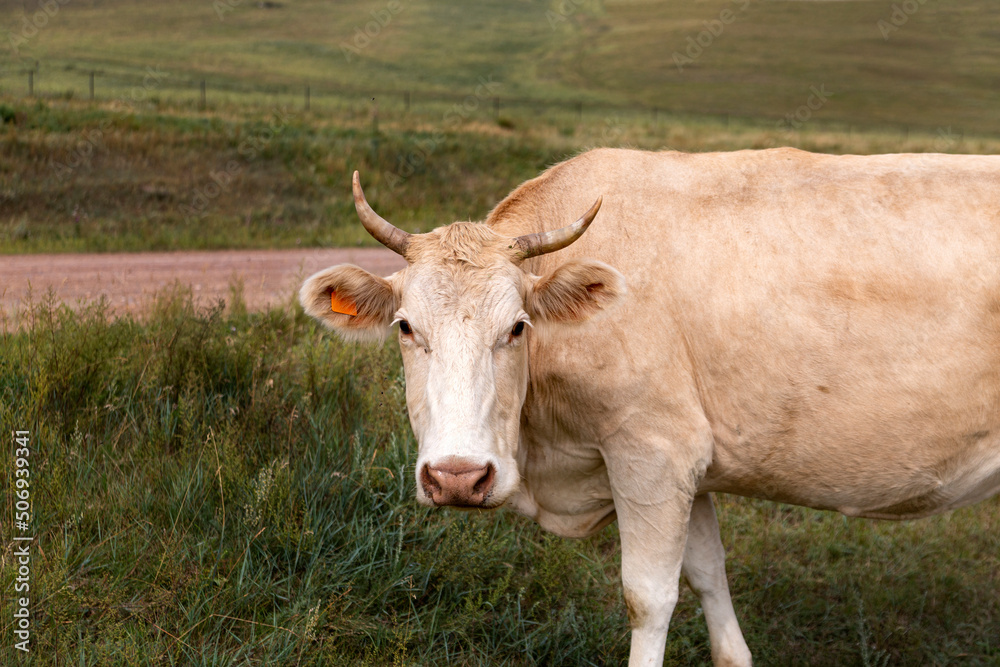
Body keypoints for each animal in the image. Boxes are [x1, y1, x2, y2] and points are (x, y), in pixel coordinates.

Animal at [299, 148, 1000, 666]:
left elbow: (649, 595)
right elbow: (708, 575)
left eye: (519, 327)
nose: (457, 477)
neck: (547, 455)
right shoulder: (693, 464)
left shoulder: (651, 451)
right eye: (405, 327)